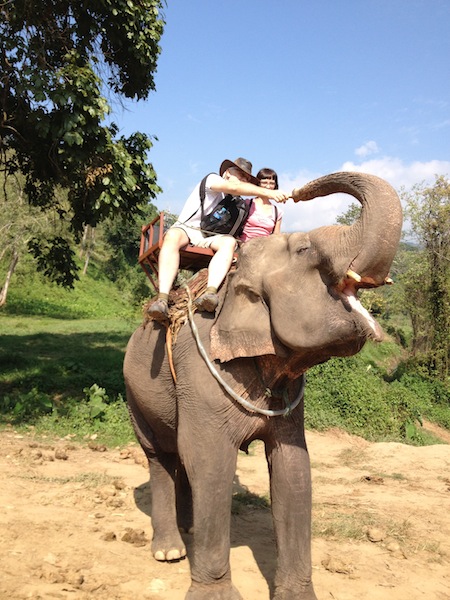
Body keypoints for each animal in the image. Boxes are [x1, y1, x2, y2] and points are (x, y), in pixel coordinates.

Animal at [124, 171, 404, 596]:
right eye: (305, 249)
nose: (296, 192)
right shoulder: (200, 372)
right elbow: (210, 462)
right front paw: (215, 595)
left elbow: (294, 470)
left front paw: (298, 596)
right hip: (133, 391)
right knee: (161, 456)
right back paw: (170, 551)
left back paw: (188, 530)